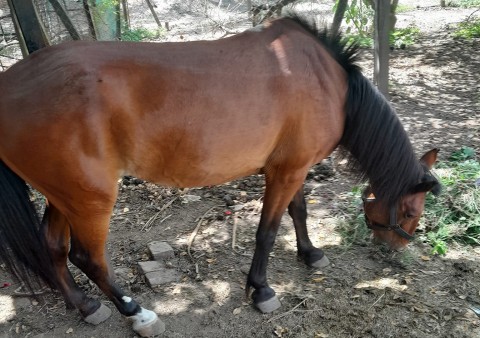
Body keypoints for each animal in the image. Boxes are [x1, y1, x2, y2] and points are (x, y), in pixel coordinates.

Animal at [0, 12, 440, 336]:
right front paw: (261, 290)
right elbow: (267, 232)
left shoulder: (292, 168)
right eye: (410, 212)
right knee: (87, 257)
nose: (396, 251)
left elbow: (298, 212)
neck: (327, 80)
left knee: (53, 247)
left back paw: (86, 306)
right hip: (90, 198)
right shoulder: (287, 172)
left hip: (64, 194)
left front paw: (310, 253)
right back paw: (137, 313)